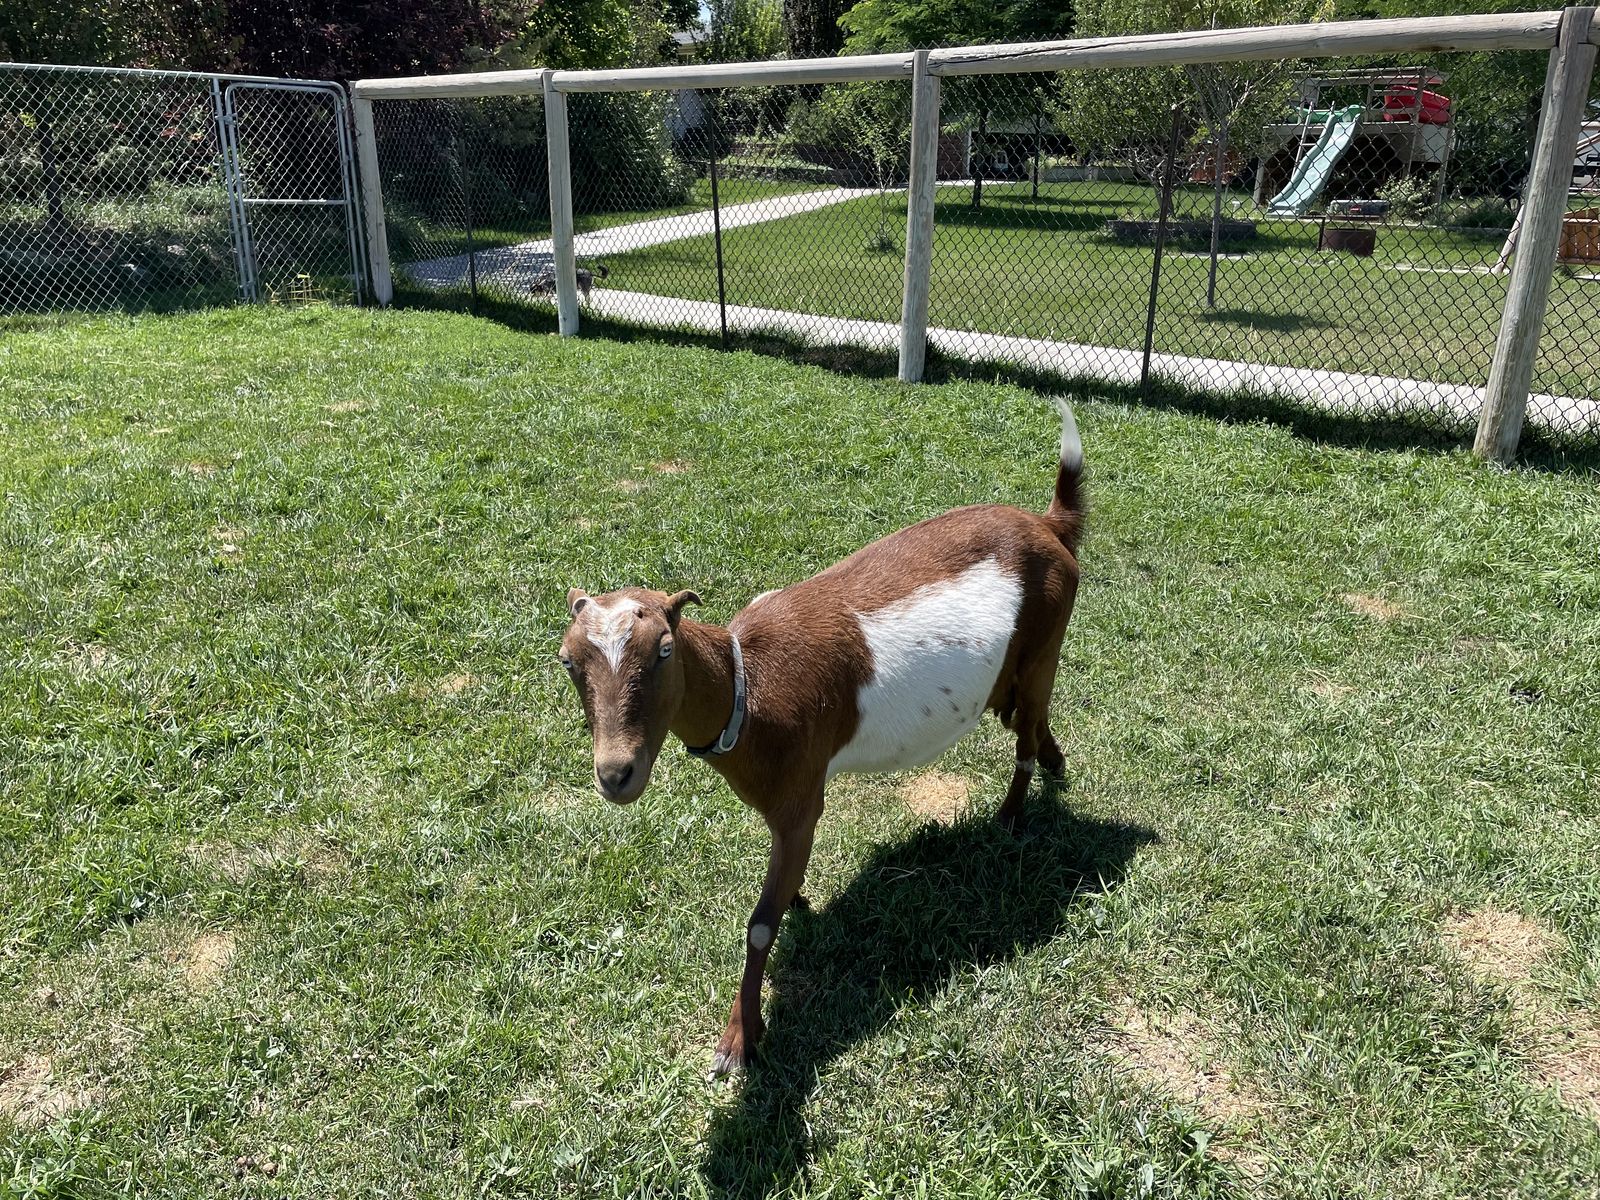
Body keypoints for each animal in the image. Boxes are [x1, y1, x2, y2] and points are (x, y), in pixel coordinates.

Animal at [558, 401, 1085, 1077]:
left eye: (664, 650)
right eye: (569, 661)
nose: (616, 774)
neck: (747, 688)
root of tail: (1047, 526)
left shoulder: (800, 798)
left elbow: (760, 924)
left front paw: (739, 1040)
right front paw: (796, 904)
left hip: (1045, 642)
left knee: (1025, 729)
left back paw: (1013, 814)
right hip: (1019, 666)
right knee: (1029, 719)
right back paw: (1054, 765)